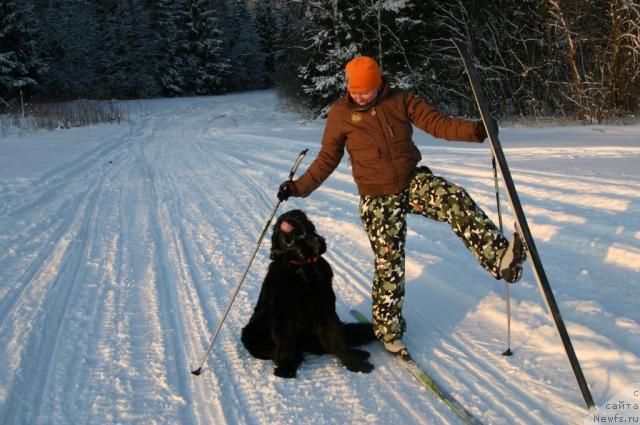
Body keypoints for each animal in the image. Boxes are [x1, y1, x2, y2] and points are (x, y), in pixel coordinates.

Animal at [241, 209, 376, 378]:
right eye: (279, 225)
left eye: (299, 218)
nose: (285, 218)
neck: (302, 268)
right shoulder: (283, 314)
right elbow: (285, 343)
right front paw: (285, 368)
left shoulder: (325, 310)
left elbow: (338, 340)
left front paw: (354, 364)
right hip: (251, 331)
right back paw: (296, 357)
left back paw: (359, 354)